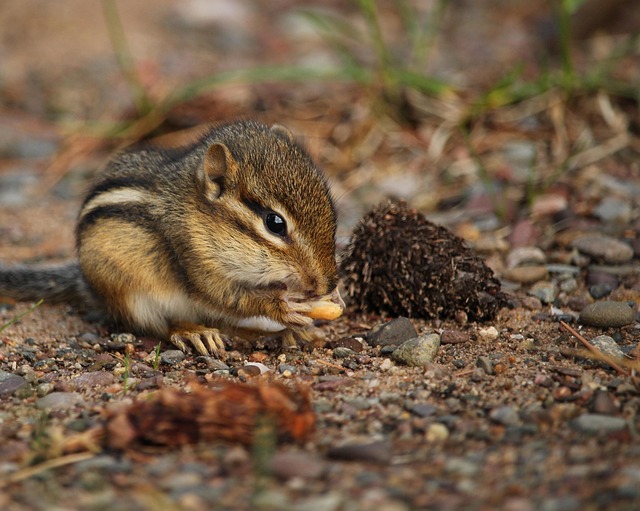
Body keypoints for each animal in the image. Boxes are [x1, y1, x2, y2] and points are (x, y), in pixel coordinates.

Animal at [0, 120, 343, 356]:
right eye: (275, 223)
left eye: (331, 208)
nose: (328, 284)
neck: (200, 215)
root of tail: (88, 286)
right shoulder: (190, 255)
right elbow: (226, 296)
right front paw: (284, 307)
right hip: (130, 295)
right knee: (162, 326)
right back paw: (194, 332)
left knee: (227, 324)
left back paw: (278, 334)